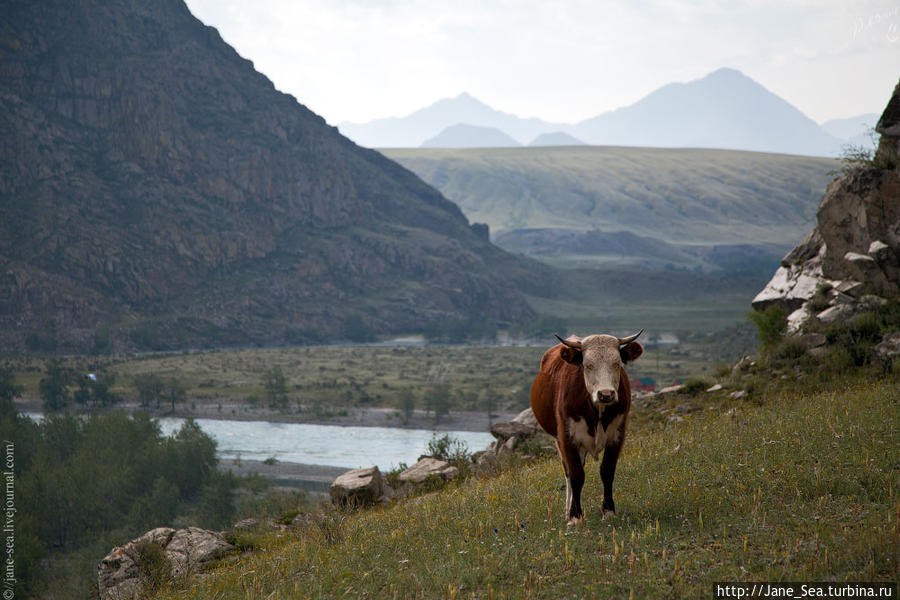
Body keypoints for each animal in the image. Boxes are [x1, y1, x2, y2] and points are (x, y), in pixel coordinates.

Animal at [532, 332, 644, 524]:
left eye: (617, 363)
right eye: (588, 365)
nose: (606, 394)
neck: (597, 411)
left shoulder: (618, 435)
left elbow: (607, 471)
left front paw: (608, 511)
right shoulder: (567, 438)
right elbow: (576, 475)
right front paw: (575, 516)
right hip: (559, 441)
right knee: (568, 472)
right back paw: (568, 509)